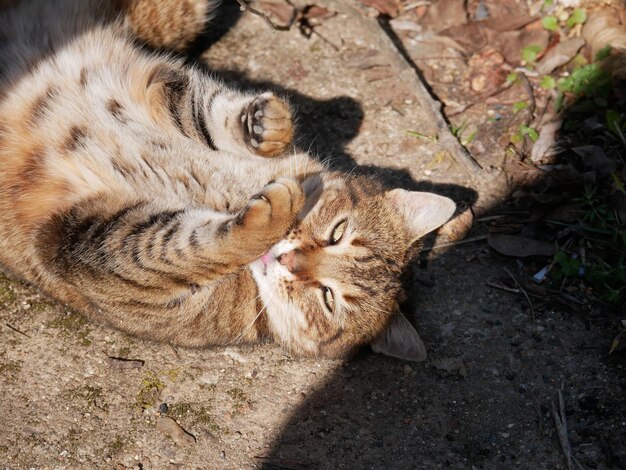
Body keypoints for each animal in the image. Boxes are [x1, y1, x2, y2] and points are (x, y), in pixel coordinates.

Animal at [0, 0, 454, 360]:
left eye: (327, 298)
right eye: (338, 233)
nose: (288, 260)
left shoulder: (91, 243)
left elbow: (185, 247)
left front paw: (270, 211)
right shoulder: (167, 87)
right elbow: (212, 112)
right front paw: (270, 126)